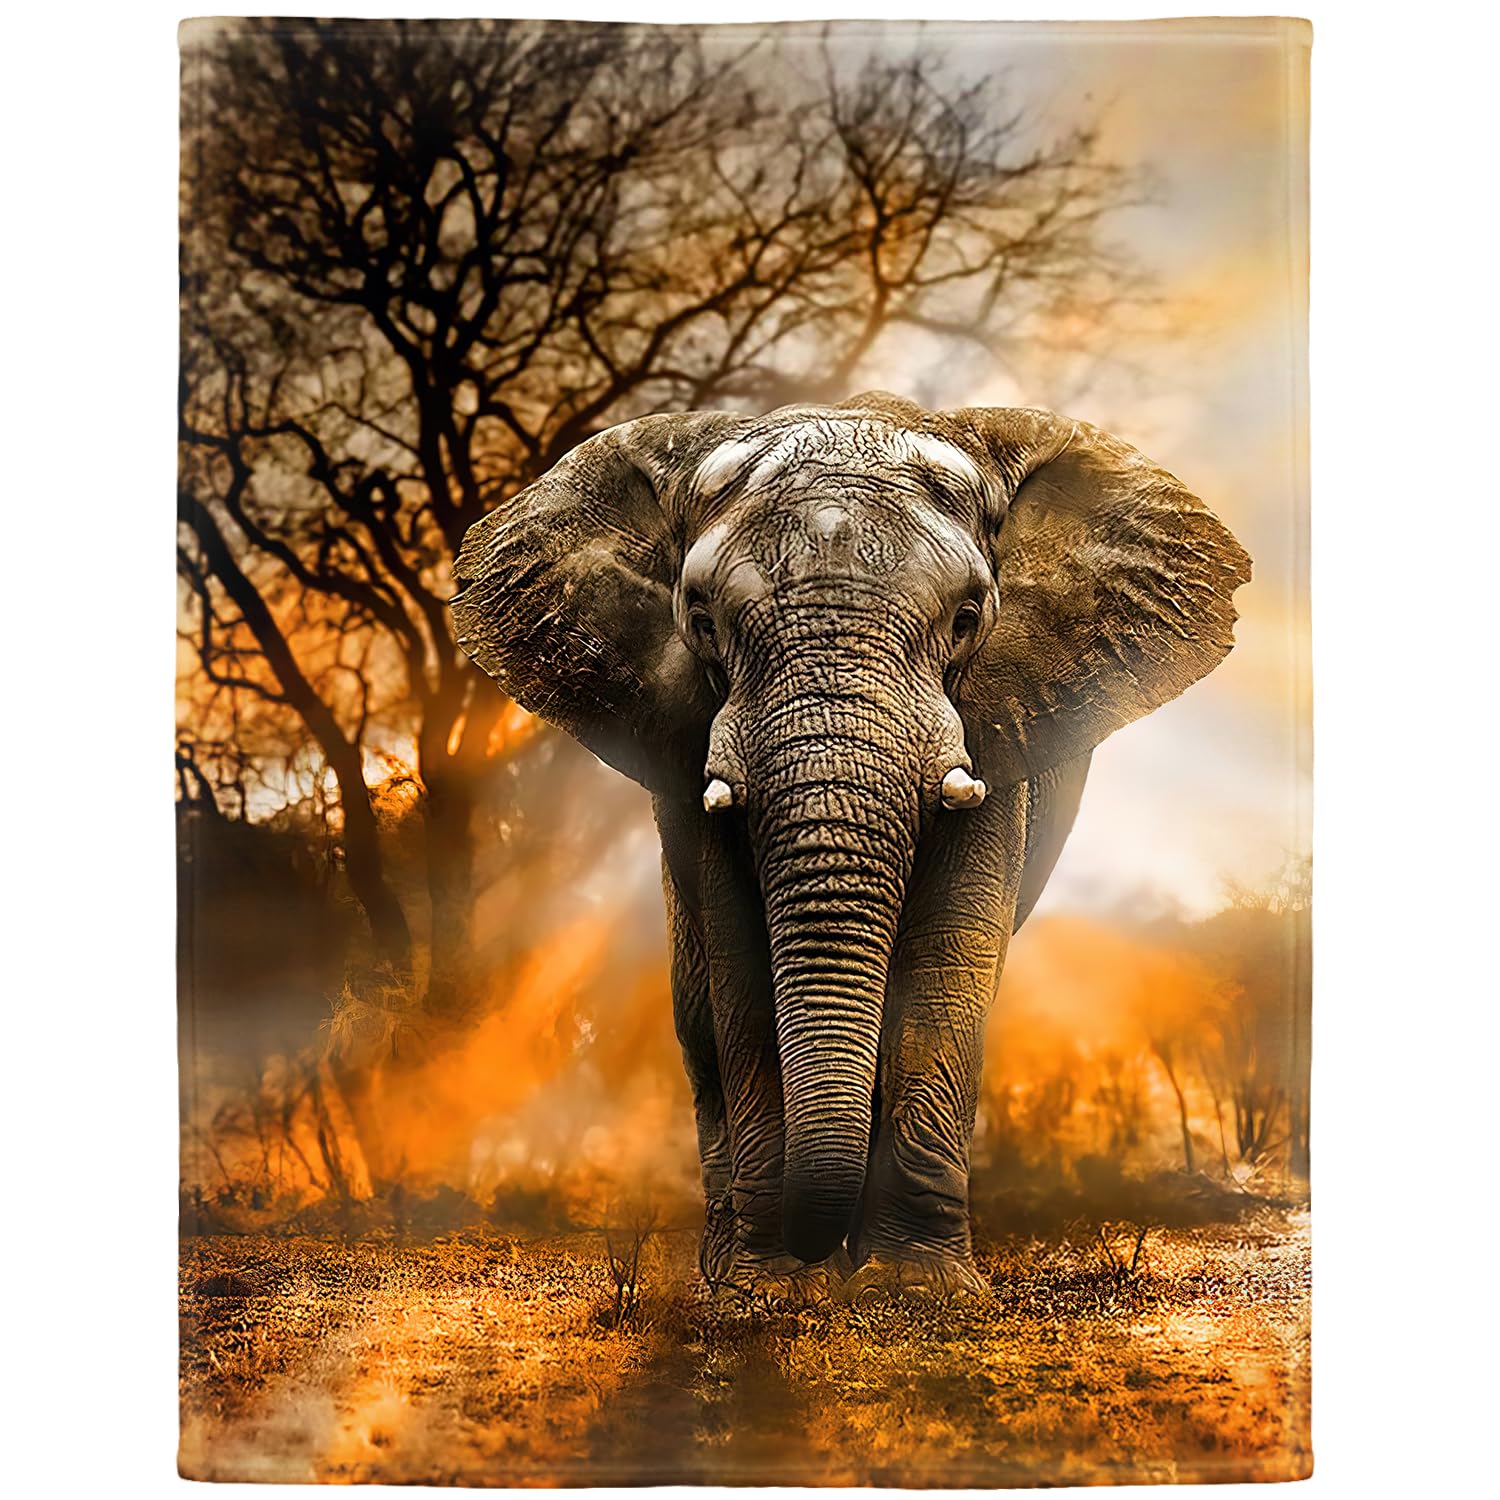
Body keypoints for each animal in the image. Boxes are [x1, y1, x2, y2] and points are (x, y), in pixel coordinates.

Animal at [452, 391, 1251, 1303]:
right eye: (701, 620)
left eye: (967, 619)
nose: (810, 1253)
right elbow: (741, 969)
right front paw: (765, 1294)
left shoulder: (994, 726)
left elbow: (946, 964)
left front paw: (917, 1292)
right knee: (696, 1016)